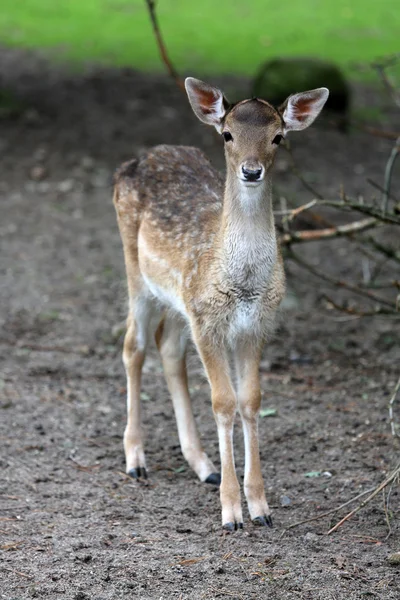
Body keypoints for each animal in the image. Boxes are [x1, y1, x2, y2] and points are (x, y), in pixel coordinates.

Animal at [113, 76, 328, 528]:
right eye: (228, 134)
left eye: (278, 137)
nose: (251, 170)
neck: (241, 283)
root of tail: (135, 160)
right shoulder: (208, 323)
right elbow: (223, 401)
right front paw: (231, 512)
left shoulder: (255, 326)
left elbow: (251, 401)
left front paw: (261, 508)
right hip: (137, 273)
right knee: (133, 345)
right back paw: (136, 459)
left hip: (179, 301)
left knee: (167, 347)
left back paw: (204, 466)